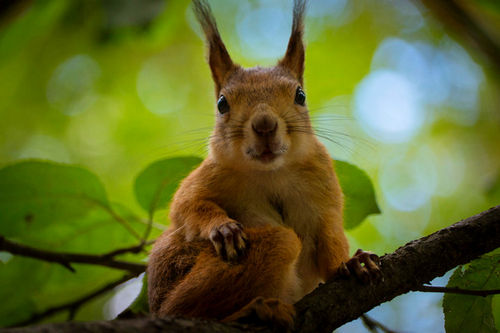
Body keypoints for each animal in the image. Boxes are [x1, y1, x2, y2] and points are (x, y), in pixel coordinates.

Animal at [146, 0, 380, 326]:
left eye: (300, 95)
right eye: (222, 103)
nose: (265, 125)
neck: (272, 173)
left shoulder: (324, 191)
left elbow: (330, 240)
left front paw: (353, 263)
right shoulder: (207, 176)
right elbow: (187, 206)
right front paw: (222, 228)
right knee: (181, 308)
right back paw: (254, 309)